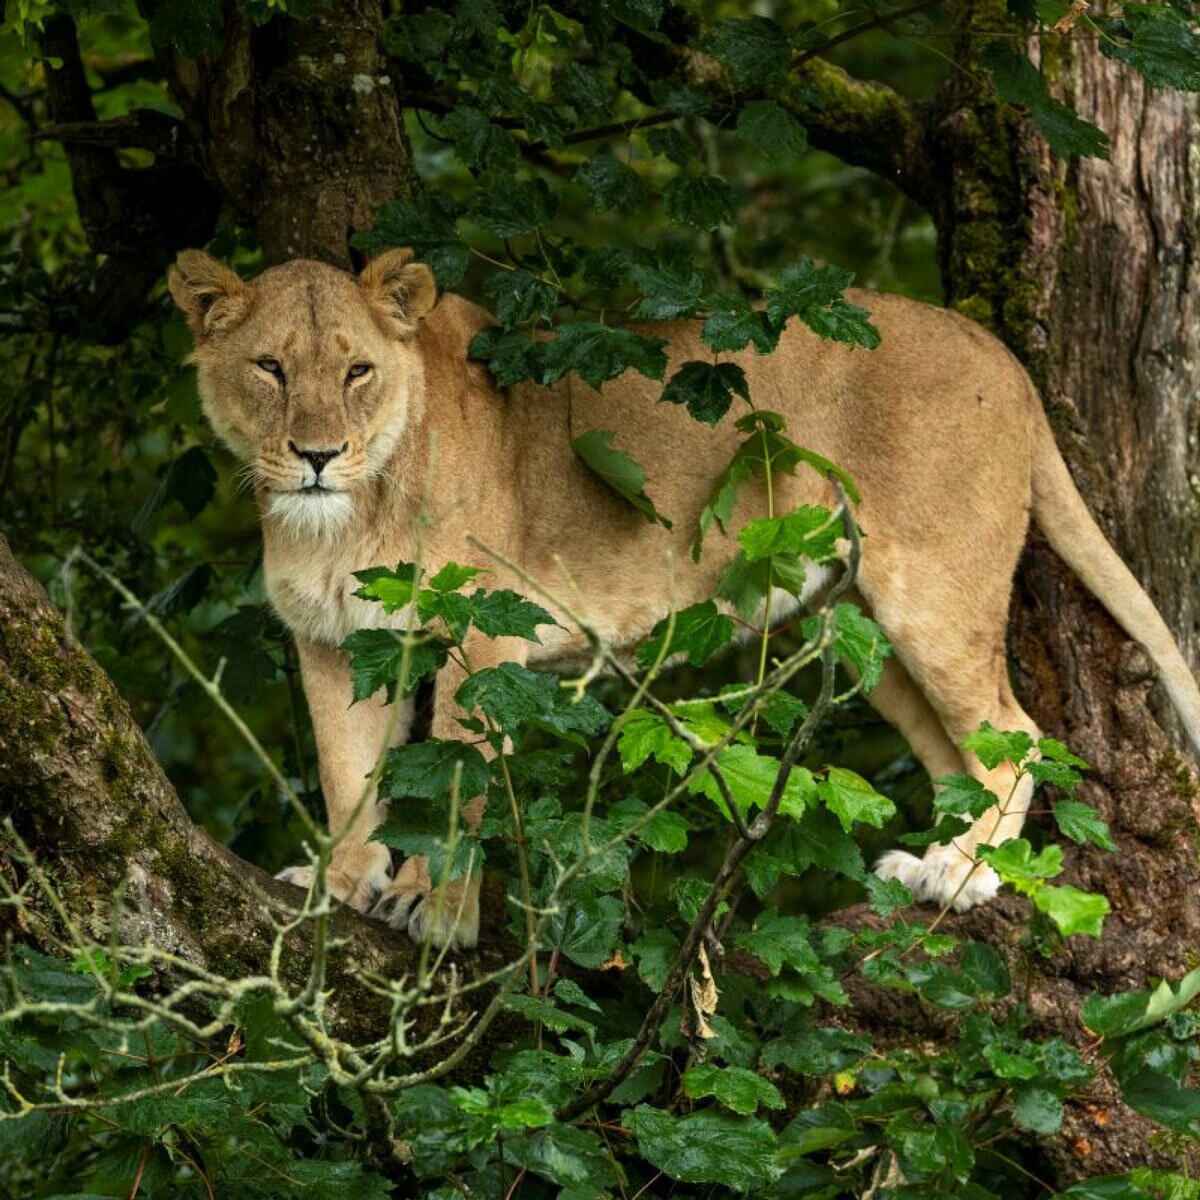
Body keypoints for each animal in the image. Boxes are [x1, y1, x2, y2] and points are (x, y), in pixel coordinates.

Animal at [168, 246, 1200, 949]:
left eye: (356, 371)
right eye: (268, 368)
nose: (315, 455)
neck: (339, 521)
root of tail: (1001, 353)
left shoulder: (481, 639)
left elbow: (461, 784)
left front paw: (434, 904)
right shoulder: (335, 642)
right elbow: (347, 774)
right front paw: (334, 882)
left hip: (933, 590)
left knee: (1016, 731)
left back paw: (963, 874)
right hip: (858, 629)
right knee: (958, 750)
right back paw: (928, 862)